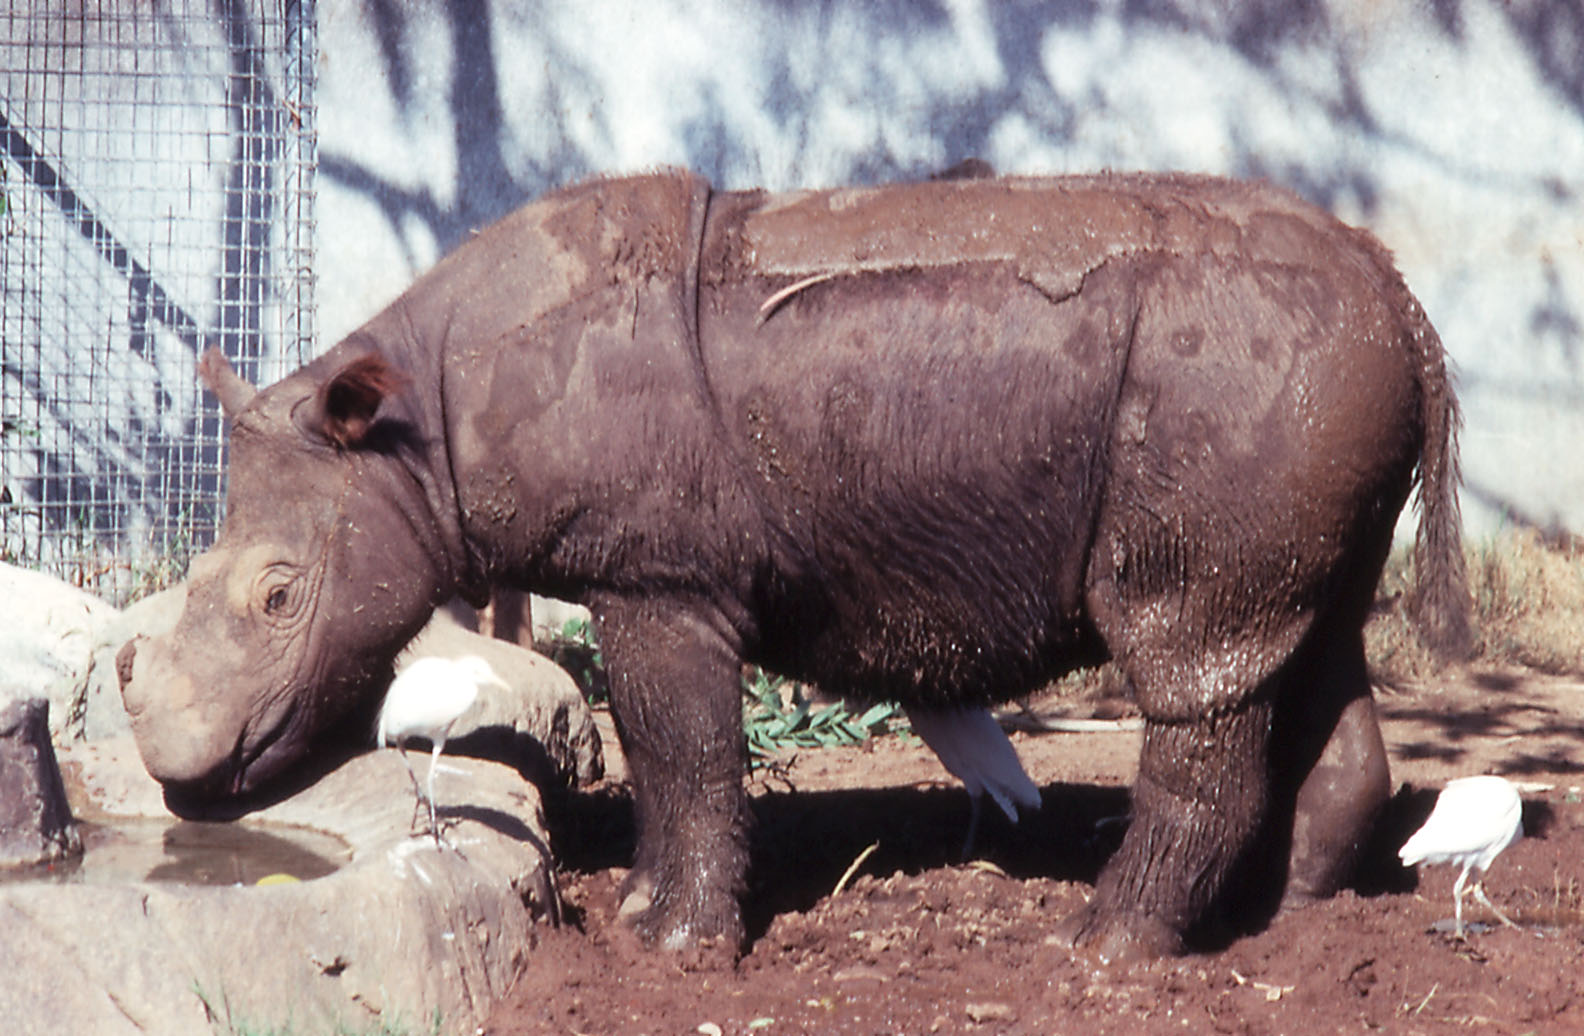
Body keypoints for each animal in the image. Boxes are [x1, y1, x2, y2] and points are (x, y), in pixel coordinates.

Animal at [118, 169, 1468, 961]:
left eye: (278, 595)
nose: (180, 770)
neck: (415, 426)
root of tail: (1403, 300)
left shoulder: (659, 574)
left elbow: (683, 750)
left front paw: (674, 950)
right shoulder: (650, 574)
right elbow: (670, 753)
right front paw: (649, 921)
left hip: (1237, 373)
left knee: (1193, 663)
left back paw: (1099, 949)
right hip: (1310, 379)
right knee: (1310, 638)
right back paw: (1285, 923)